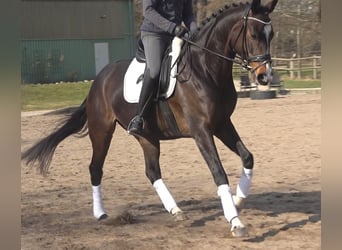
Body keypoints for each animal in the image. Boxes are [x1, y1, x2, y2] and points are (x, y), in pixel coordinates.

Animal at [21, 0, 278, 237]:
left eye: (271, 34)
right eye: (253, 34)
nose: (264, 77)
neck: (205, 69)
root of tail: (99, 79)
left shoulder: (222, 124)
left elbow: (247, 157)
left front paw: (238, 200)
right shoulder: (201, 130)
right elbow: (218, 171)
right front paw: (236, 222)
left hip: (147, 136)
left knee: (152, 171)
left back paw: (176, 210)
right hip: (101, 130)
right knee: (95, 168)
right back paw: (101, 214)